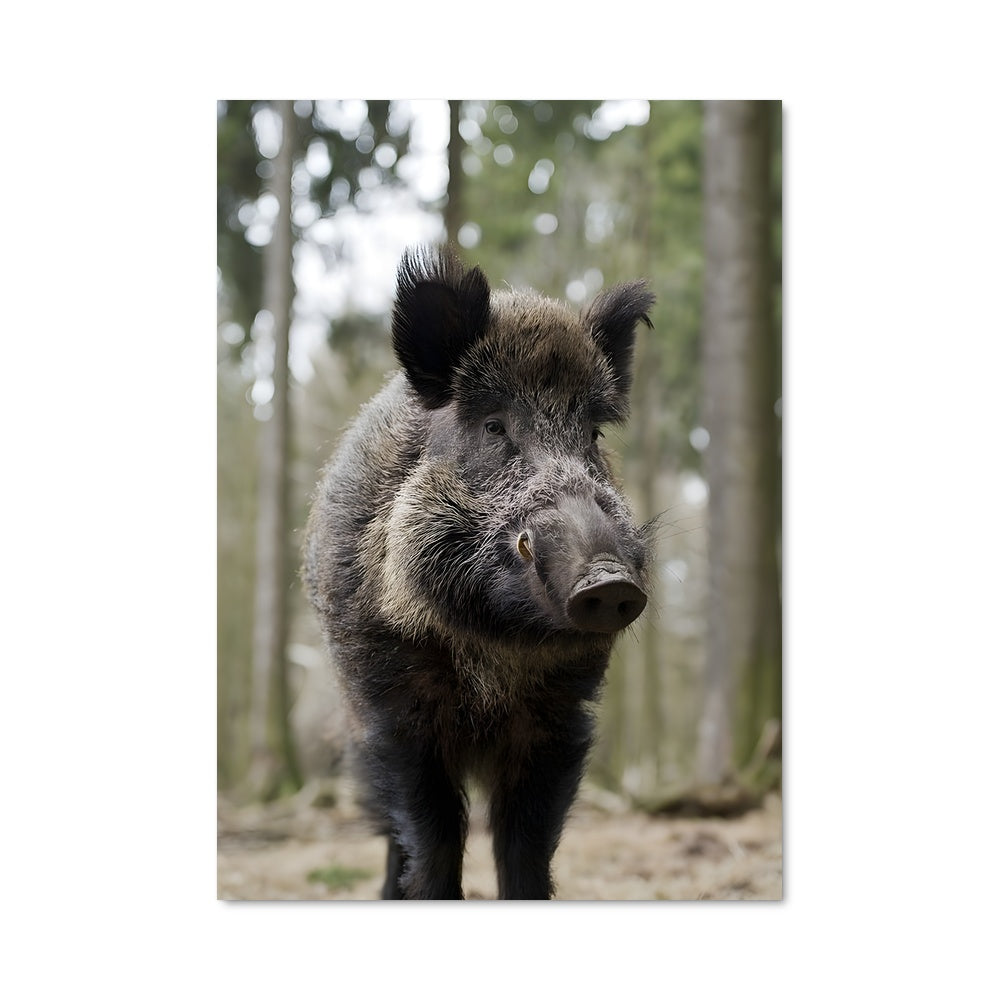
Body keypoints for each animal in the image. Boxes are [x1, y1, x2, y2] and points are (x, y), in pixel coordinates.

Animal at [303, 245, 655, 899]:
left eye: (592, 435)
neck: (493, 652)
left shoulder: (559, 717)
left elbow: (527, 849)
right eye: (494, 426)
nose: (608, 579)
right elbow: (434, 839)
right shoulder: (395, 713)